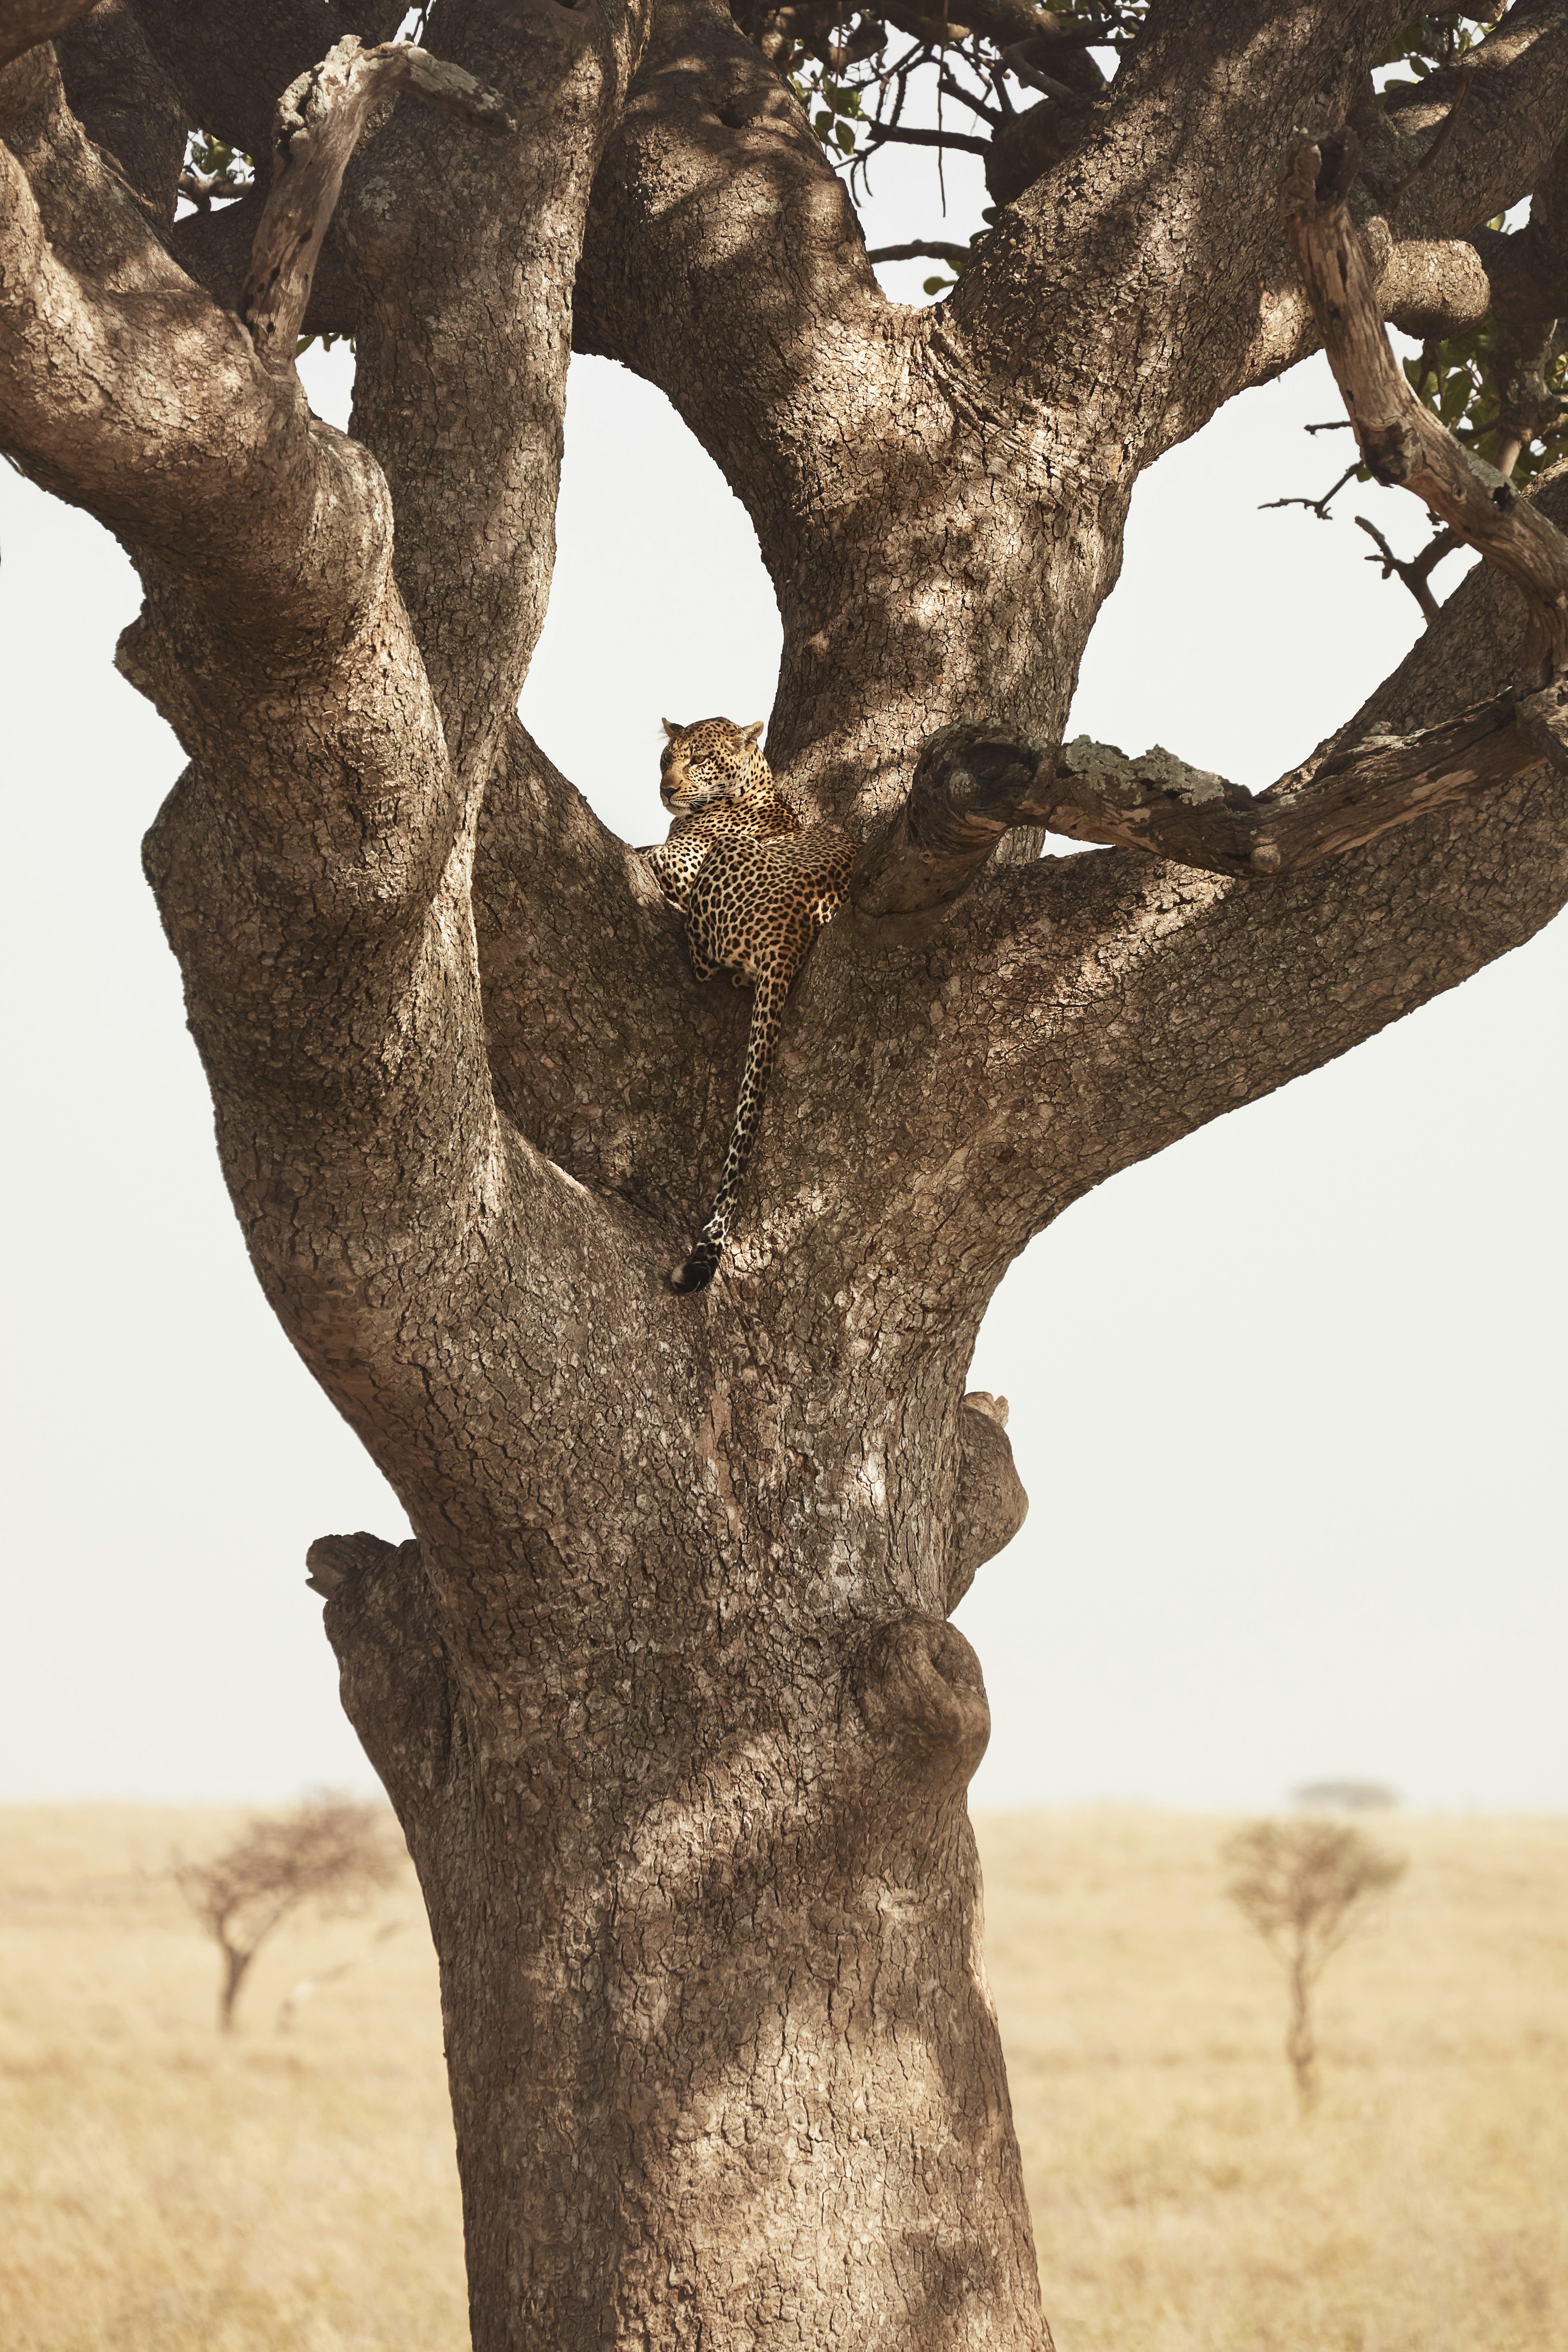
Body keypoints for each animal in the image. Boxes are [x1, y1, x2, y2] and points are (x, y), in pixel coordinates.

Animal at [644, 719, 851, 1307]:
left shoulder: (681, 861)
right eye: (666, 758)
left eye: (699, 761)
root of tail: (793, 933)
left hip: (725, 866)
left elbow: (647, 851)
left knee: (701, 956)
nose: (666, 789)